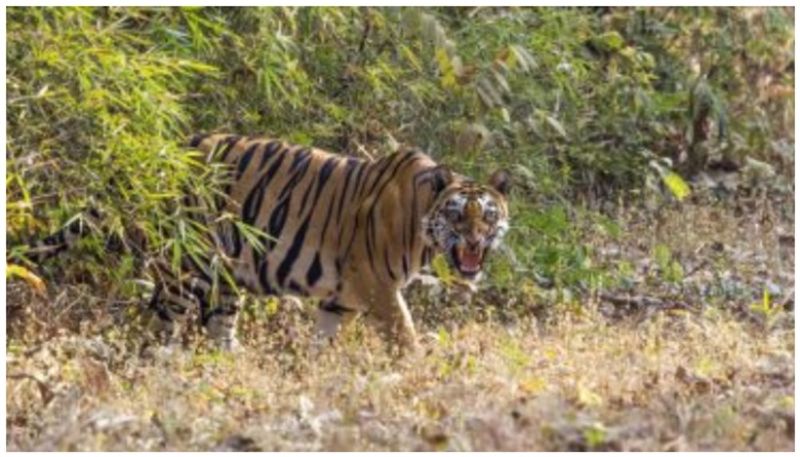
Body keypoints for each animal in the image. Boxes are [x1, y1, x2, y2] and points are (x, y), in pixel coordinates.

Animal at [26, 133, 512, 352]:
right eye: (456, 215)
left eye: (488, 215)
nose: (475, 240)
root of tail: (173, 146)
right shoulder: (379, 289)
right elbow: (406, 337)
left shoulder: (340, 300)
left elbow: (323, 345)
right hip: (184, 268)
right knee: (157, 326)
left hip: (224, 278)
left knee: (218, 330)